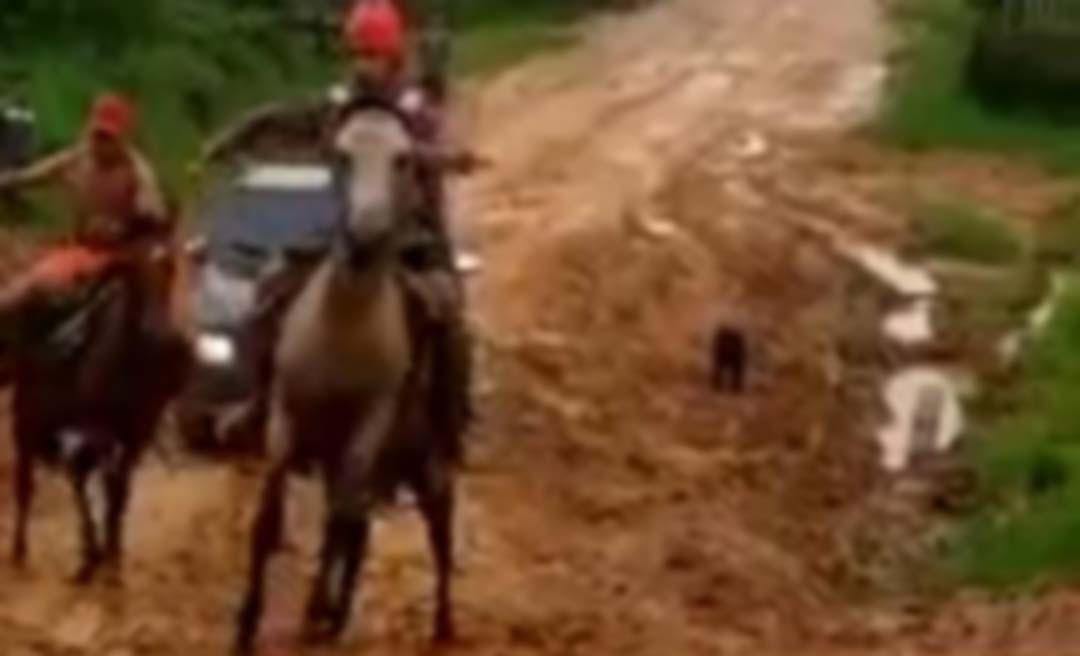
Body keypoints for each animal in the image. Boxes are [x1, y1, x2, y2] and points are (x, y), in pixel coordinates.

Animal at [10, 242, 193, 583]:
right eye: (133, 280)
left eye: (171, 270)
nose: (170, 343)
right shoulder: (83, 433)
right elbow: (89, 487)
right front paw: (98, 559)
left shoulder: (132, 437)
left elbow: (117, 494)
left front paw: (109, 559)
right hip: (30, 425)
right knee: (27, 484)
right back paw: (20, 552)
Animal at [235, 105, 460, 652]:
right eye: (340, 155)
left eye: (404, 159)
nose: (365, 235)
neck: (343, 328)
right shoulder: (285, 418)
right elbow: (269, 520)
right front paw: (247, 623)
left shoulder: (368, 429)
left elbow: (337, 522)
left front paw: (314, 612)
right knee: (359, 527)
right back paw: (337, 616)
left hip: (427, 460)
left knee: (438, 531)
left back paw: (442, 625)